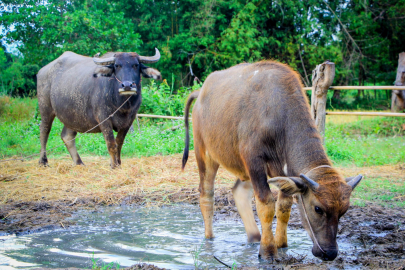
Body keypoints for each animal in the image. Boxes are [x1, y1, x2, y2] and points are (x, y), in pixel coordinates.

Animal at [181, 61, 362, 262]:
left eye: (343, 211)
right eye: (317, 209)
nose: (329, 253)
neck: (278, 116)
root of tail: (201, 93)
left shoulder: (283, 172)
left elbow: (284, 207)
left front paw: (281, 244)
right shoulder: (254, 161)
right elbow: (266, 205)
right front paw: (268, 250)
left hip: (243, 170)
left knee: (239, 191)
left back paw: (254, 236)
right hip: (206, 154)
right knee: (206, 193)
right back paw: (210, 237)